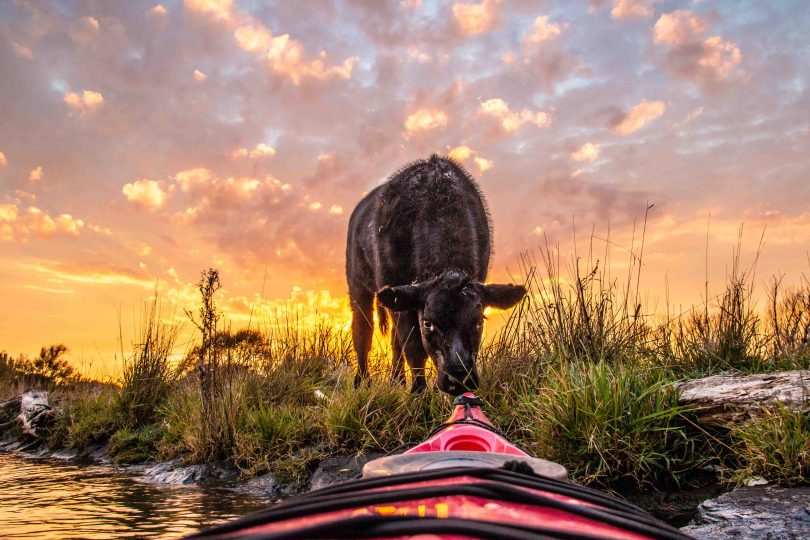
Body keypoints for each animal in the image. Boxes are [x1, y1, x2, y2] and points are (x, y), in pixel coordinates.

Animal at [346, 154, 524, 394]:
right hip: (358, 286)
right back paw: (362, 382)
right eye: (428, 323)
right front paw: (419, 394)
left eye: (478, 321)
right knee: (363, 332)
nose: (459, 377)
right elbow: (414, 349)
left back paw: (397, 380)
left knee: (394, 340)